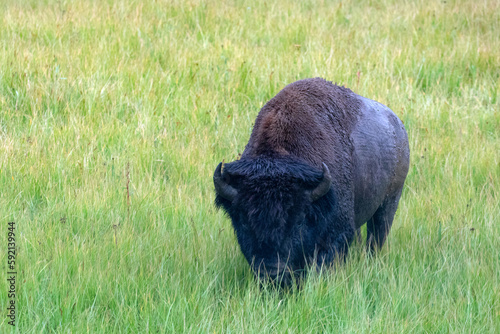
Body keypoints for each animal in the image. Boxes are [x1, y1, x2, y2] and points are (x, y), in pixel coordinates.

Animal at [213, 77, 408, 284]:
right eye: (243, 221)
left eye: (299, 221)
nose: (272, 272)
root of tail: (398, 126)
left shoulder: (336, 234)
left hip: (389, 203)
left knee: (377, 236)